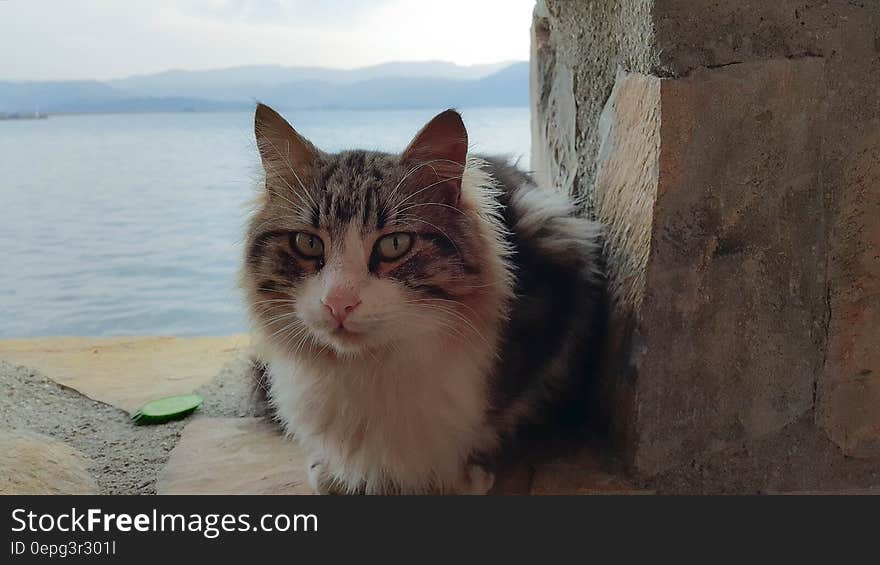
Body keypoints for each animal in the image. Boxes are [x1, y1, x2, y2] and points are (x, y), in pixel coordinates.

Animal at [244, 103, 608, 492]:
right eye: (308, 243)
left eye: (394, 244)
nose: (339, 302)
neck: (370, 368)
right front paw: (331, 472)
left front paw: (464, 476)